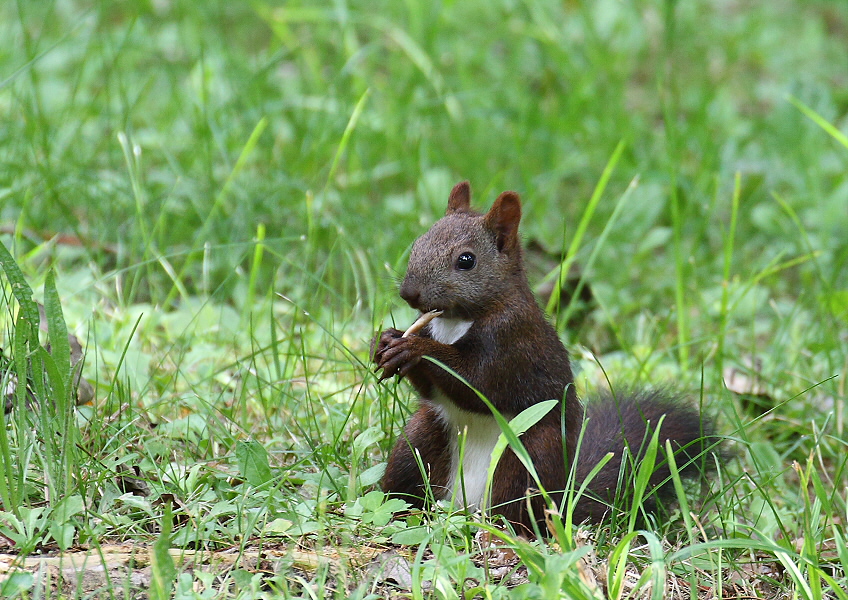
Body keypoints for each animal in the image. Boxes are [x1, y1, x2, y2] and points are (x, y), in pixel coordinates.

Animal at [374, 180, 712, 532]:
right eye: (418, 243)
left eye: (466, 260)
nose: (409, 293)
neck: (457, 320)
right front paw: (387, 340)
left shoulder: (513, 340)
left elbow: (477, 383)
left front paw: (415, 349)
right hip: (419, 442)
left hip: (528, 457)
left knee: (519, 512)